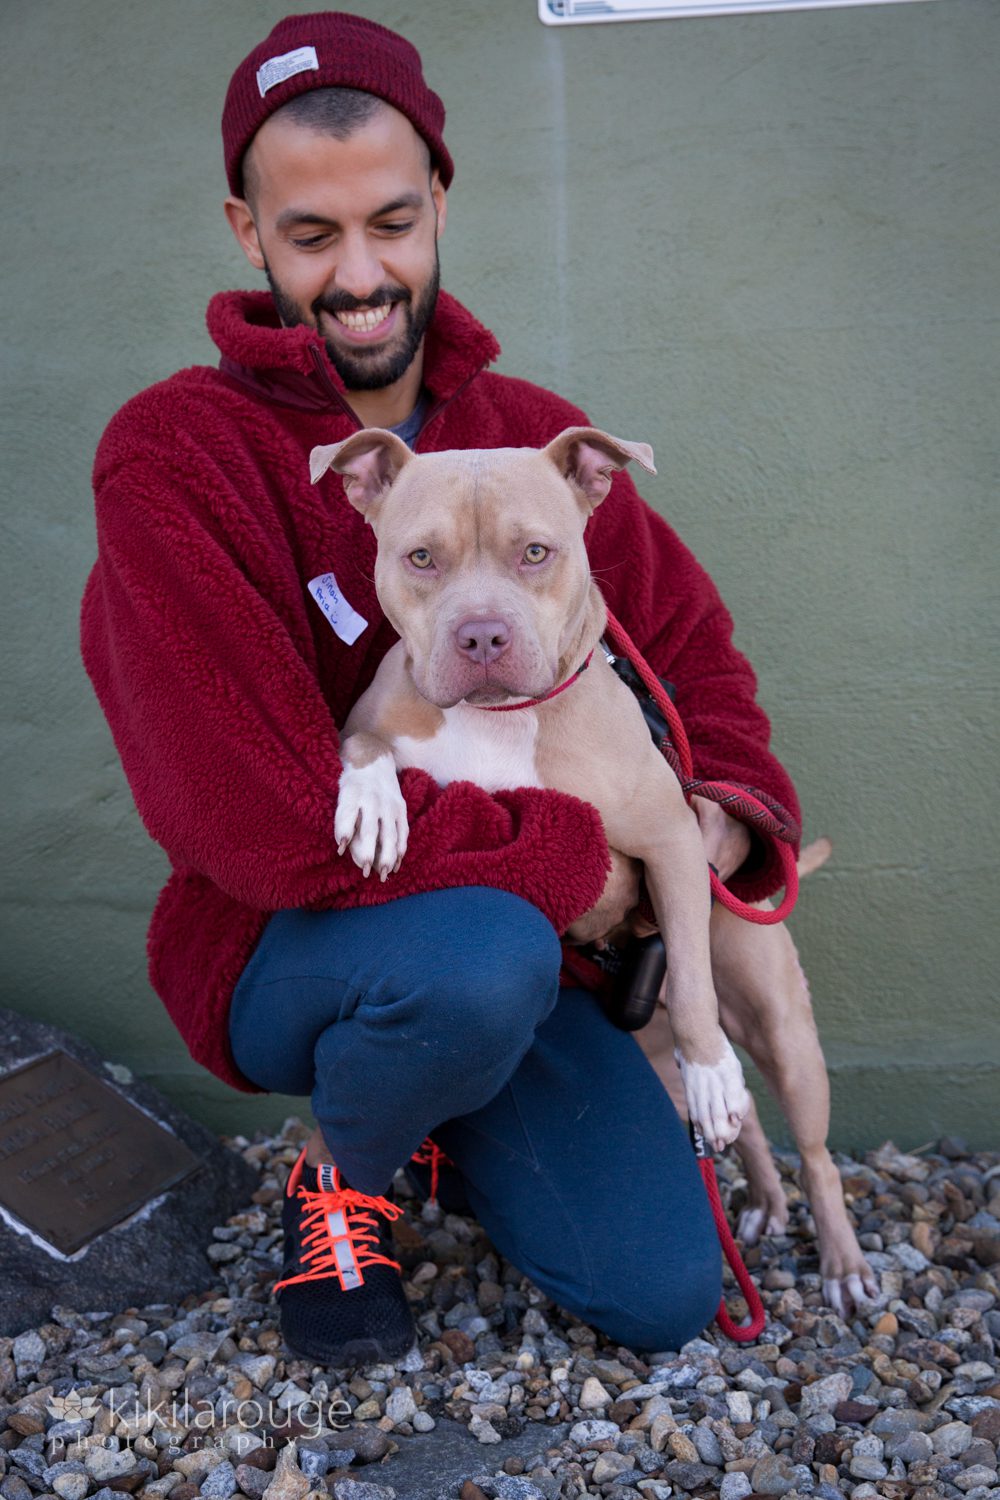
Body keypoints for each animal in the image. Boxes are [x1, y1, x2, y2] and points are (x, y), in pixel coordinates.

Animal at [310, 426, 875, 1314]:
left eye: (536, 552)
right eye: (422, 557)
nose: (481, 637)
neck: (501, 718)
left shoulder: (675, 841)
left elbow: (700, 1006)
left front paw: (712, 1071)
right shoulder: (370, 717)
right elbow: (363, 744)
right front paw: (374, 803)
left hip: (780, 1025)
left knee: (804, 1140)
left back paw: (842, 1261)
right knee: (743, 1117)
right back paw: (759, 1198)